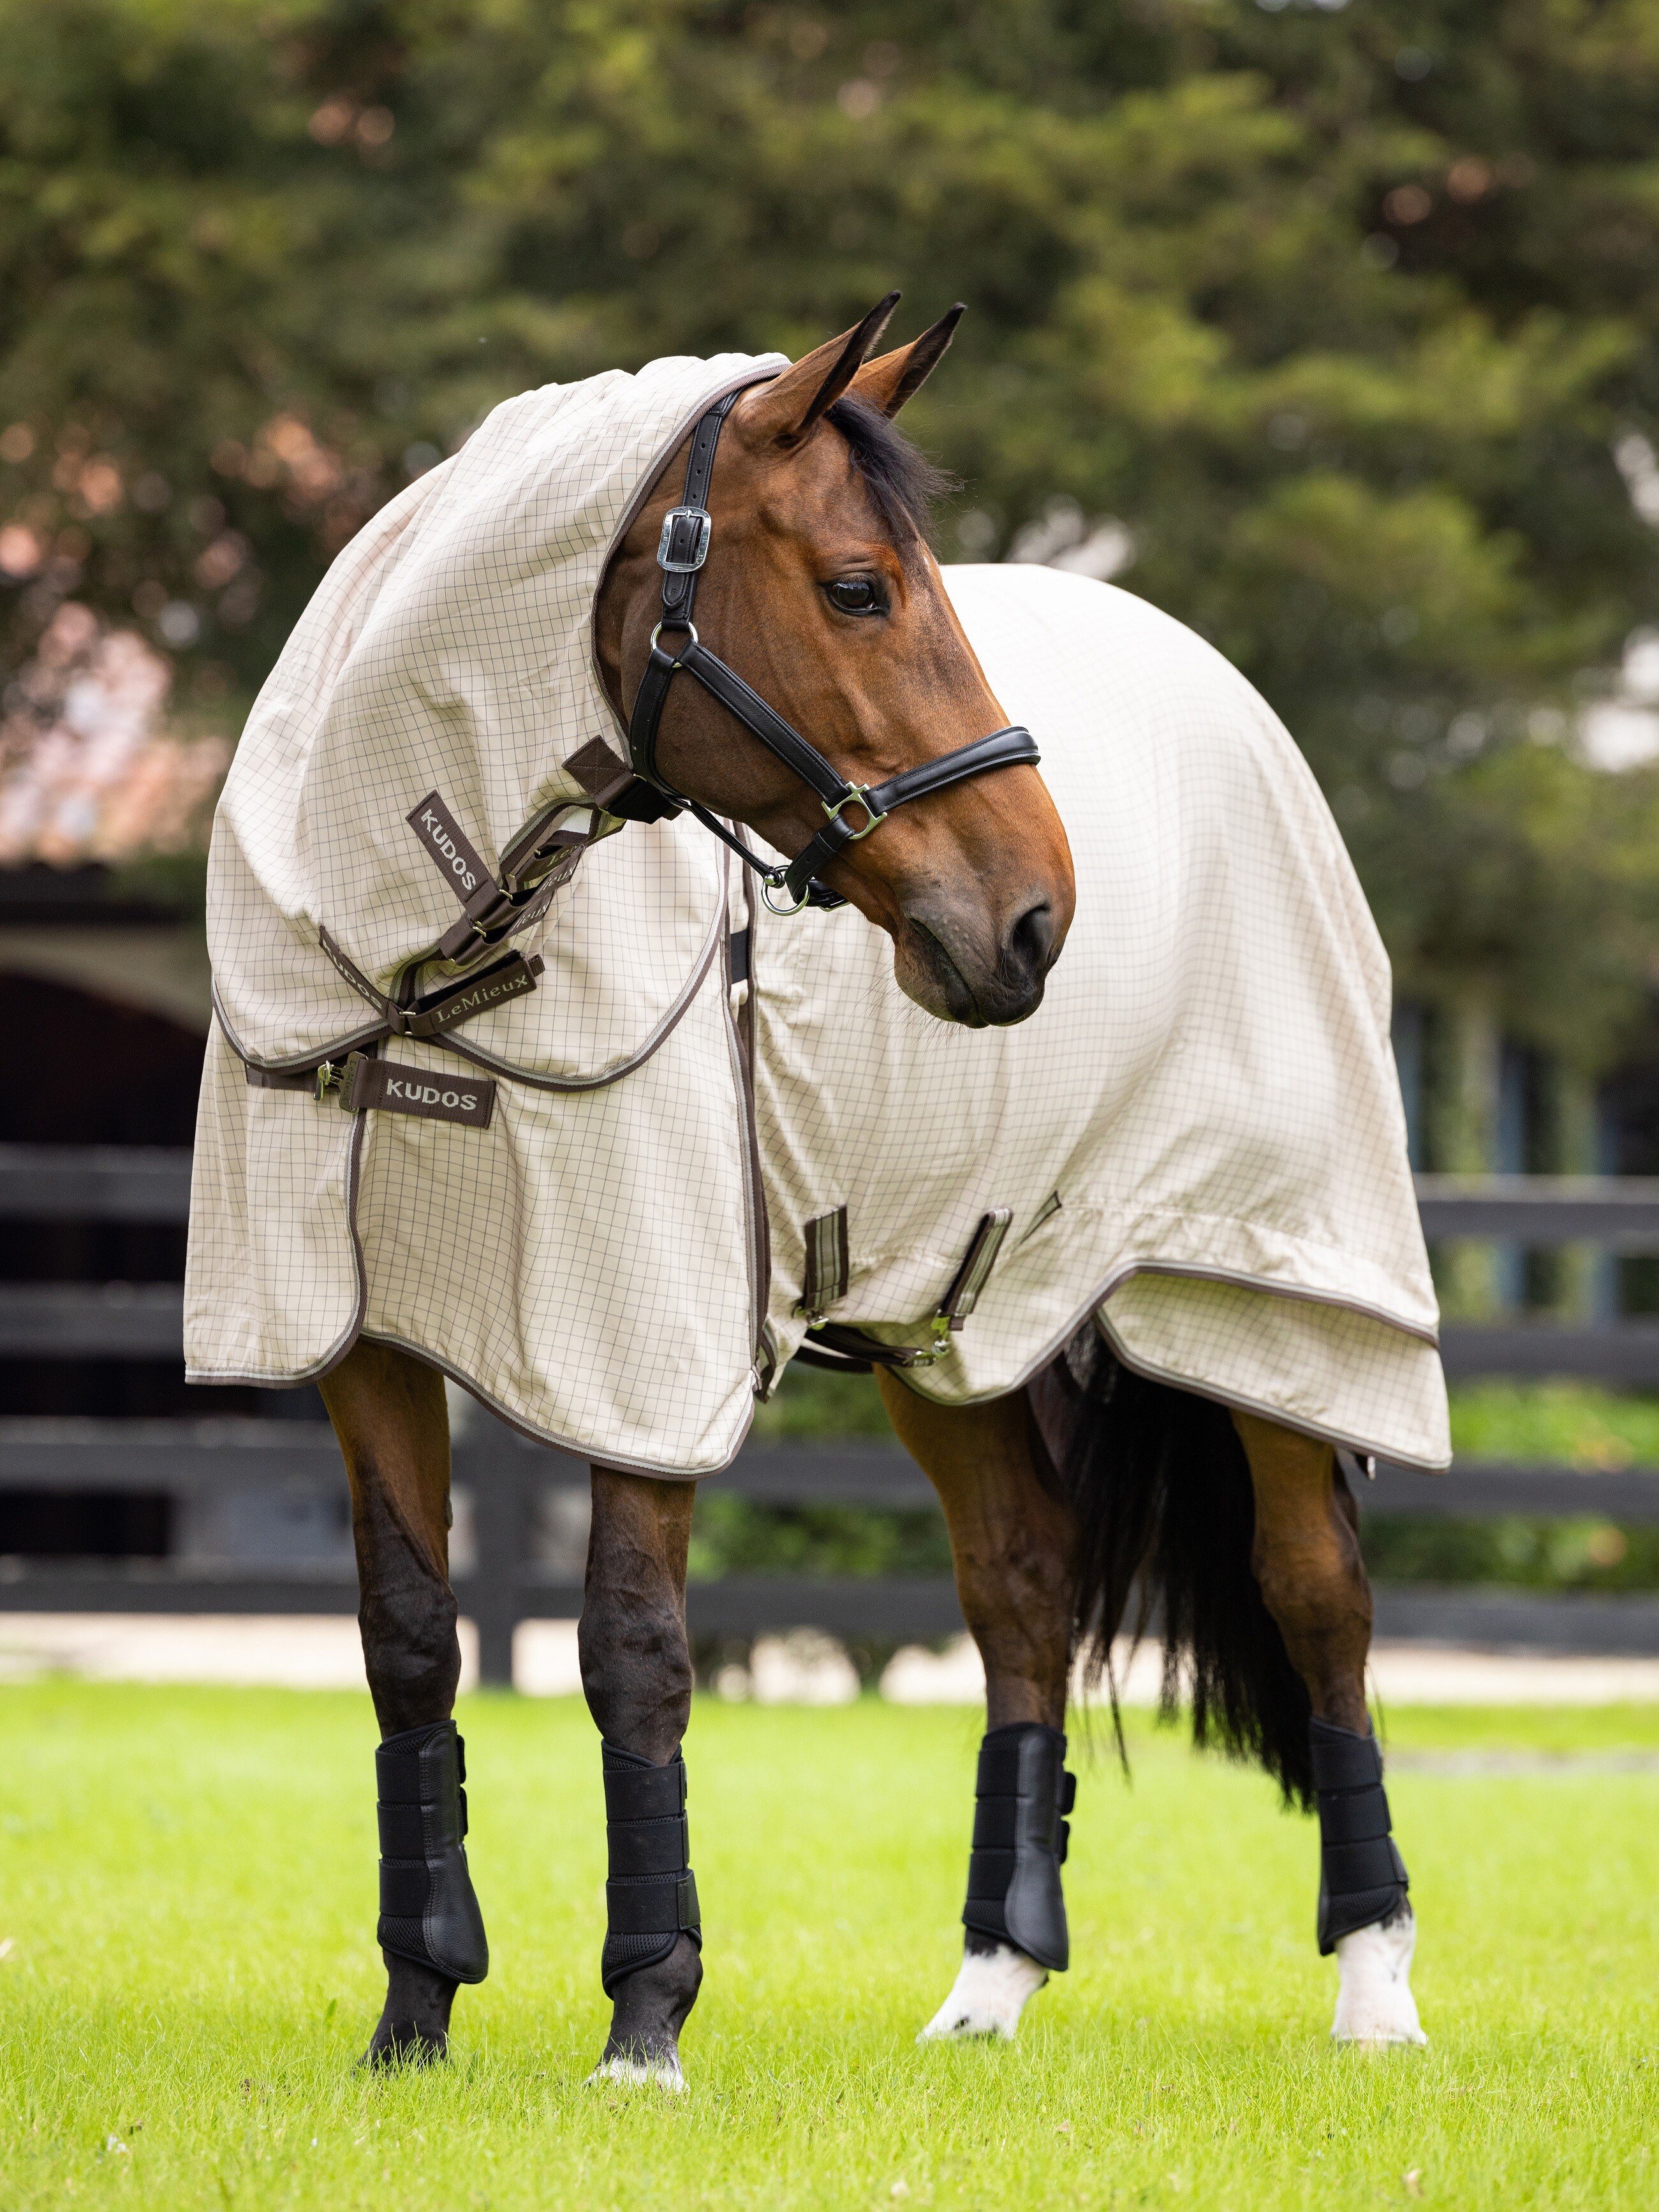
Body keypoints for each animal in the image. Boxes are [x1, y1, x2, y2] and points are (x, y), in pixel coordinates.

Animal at [187, 297, 1435, 2081]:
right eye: (857, 586)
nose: (1035, 916)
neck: (414, 973)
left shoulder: (640, 1348)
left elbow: (632, 1648)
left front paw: (646, 2016)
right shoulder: (354, 1340)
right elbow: (410, 1641)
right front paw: (414, 2014)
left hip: (1268, 1301)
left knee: (1317, 1596)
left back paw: (1373, 1985)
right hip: (948, 1317)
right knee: (1021, 1592)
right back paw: (988, 1983)